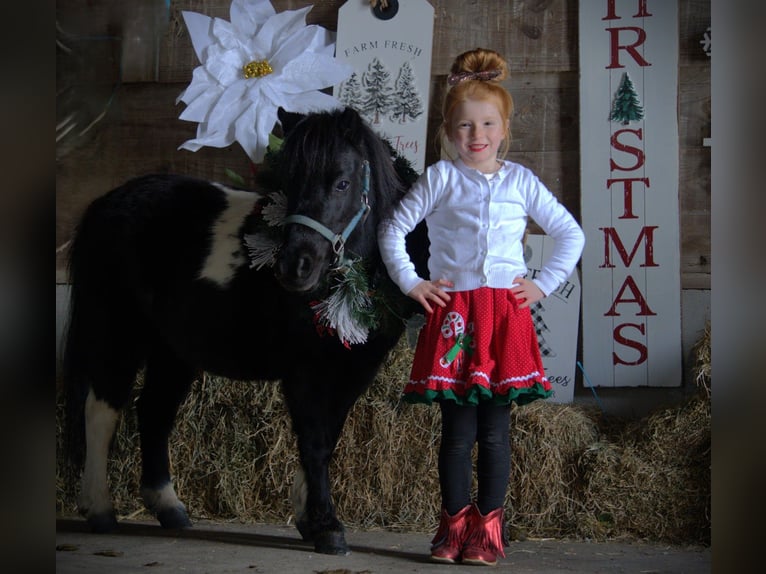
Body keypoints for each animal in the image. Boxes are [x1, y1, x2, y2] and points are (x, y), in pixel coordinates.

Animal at [61, 106, 428, 555]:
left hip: (173, 350)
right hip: (117, 332)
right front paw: (326, 526)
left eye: (342, 181)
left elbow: (328, 438)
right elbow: (313, 441)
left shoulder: (353, 371)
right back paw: (99, 509)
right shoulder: (303, 371)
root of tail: (107, 203)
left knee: (154, 411)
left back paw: (168, 506)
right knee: (101, 411)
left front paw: (310, 519)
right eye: (287, 182)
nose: (294, 267)